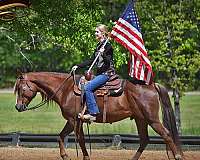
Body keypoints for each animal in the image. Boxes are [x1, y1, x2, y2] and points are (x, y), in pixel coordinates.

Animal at [13, 72, 183, 159]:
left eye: (21, 88)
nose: (18, 107)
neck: (66, 89)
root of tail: (152, 85)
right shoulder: (72, 120)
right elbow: (61, 136)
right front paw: (65, 156)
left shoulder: (75, 121)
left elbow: (81, 140)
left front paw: (85, 157)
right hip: (141, 119)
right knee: (144, 140)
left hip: (152, 119)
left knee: (166, 134)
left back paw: (178, 156)